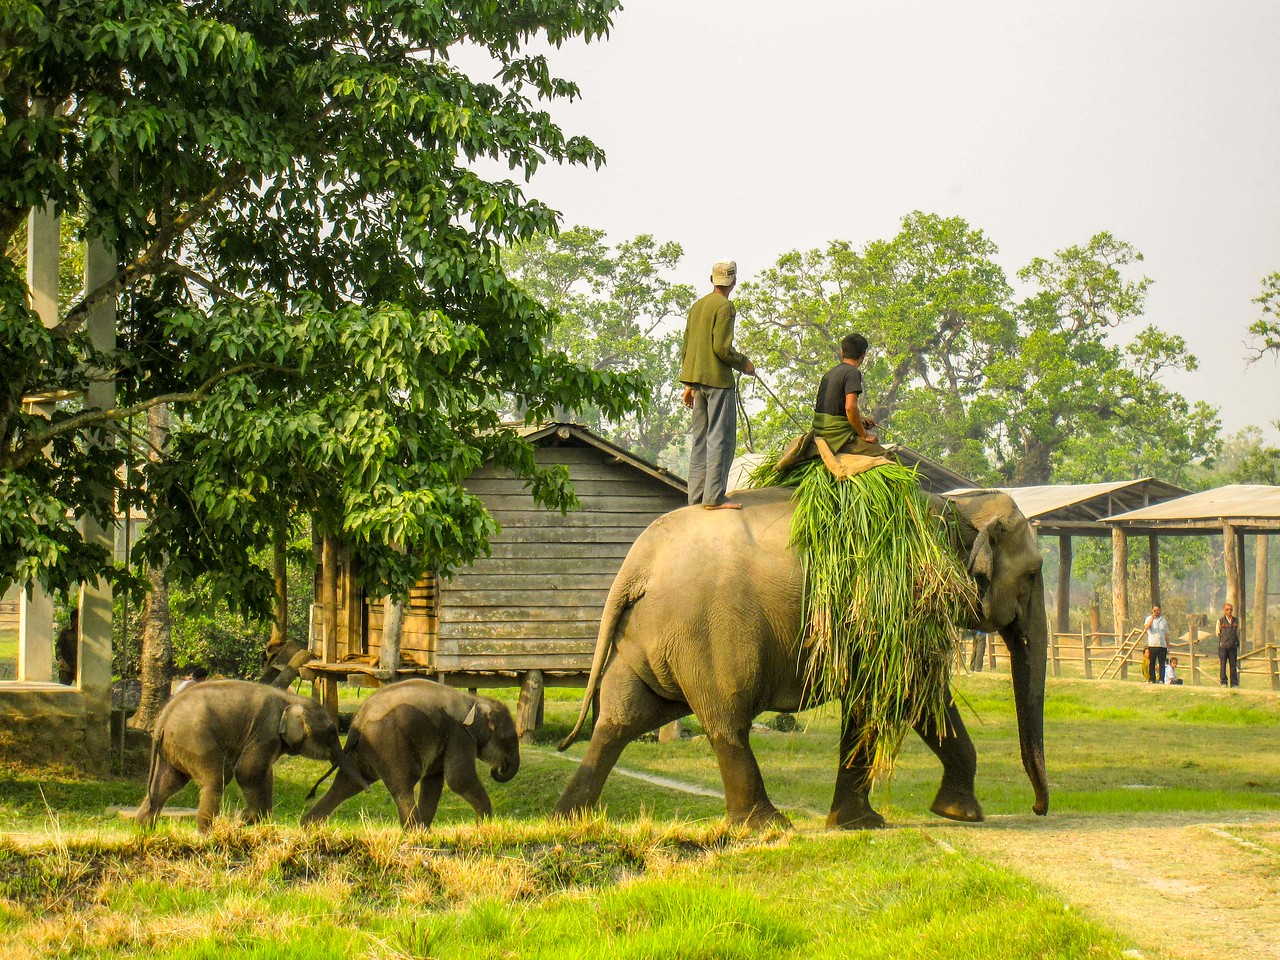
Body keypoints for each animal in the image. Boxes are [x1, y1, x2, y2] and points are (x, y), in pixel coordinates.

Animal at [136, 679, 363, 833]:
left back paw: (144, 830)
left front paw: (254, 821)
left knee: (166, 784)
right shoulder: (266, 730)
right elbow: (249, 771)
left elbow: (263, 773)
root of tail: (163, 719)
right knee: (216, 778)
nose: (310, 795)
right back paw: (205, 833)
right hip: (194, 739)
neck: (291, 699)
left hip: (174, 748)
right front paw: (245, 819)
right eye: (332, 731)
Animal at [301, 679, 520, 829]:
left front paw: (429, 832)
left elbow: (434, 781)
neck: (475, 701)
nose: (498, 768)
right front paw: (484, 825)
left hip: (365, 750)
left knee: (347, 784)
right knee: (403, 785)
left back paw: (308, 826)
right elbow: (459, 779)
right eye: (509, 738)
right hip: (387, 742)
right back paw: (414, 831)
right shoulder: (460, 734)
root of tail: (357, 721)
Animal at [554, 486, 1049, 830]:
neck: (958, 504)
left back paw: (567, 819)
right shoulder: (897, 604)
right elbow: (908, 692)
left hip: (647, 638)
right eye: (1033, 573)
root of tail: (636, 566)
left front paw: (930, 815)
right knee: (726, 721)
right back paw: (768, 827)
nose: (1038, 807)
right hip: (704, 634)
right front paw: (895, 821)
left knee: (623, 718)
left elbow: (898, 697)